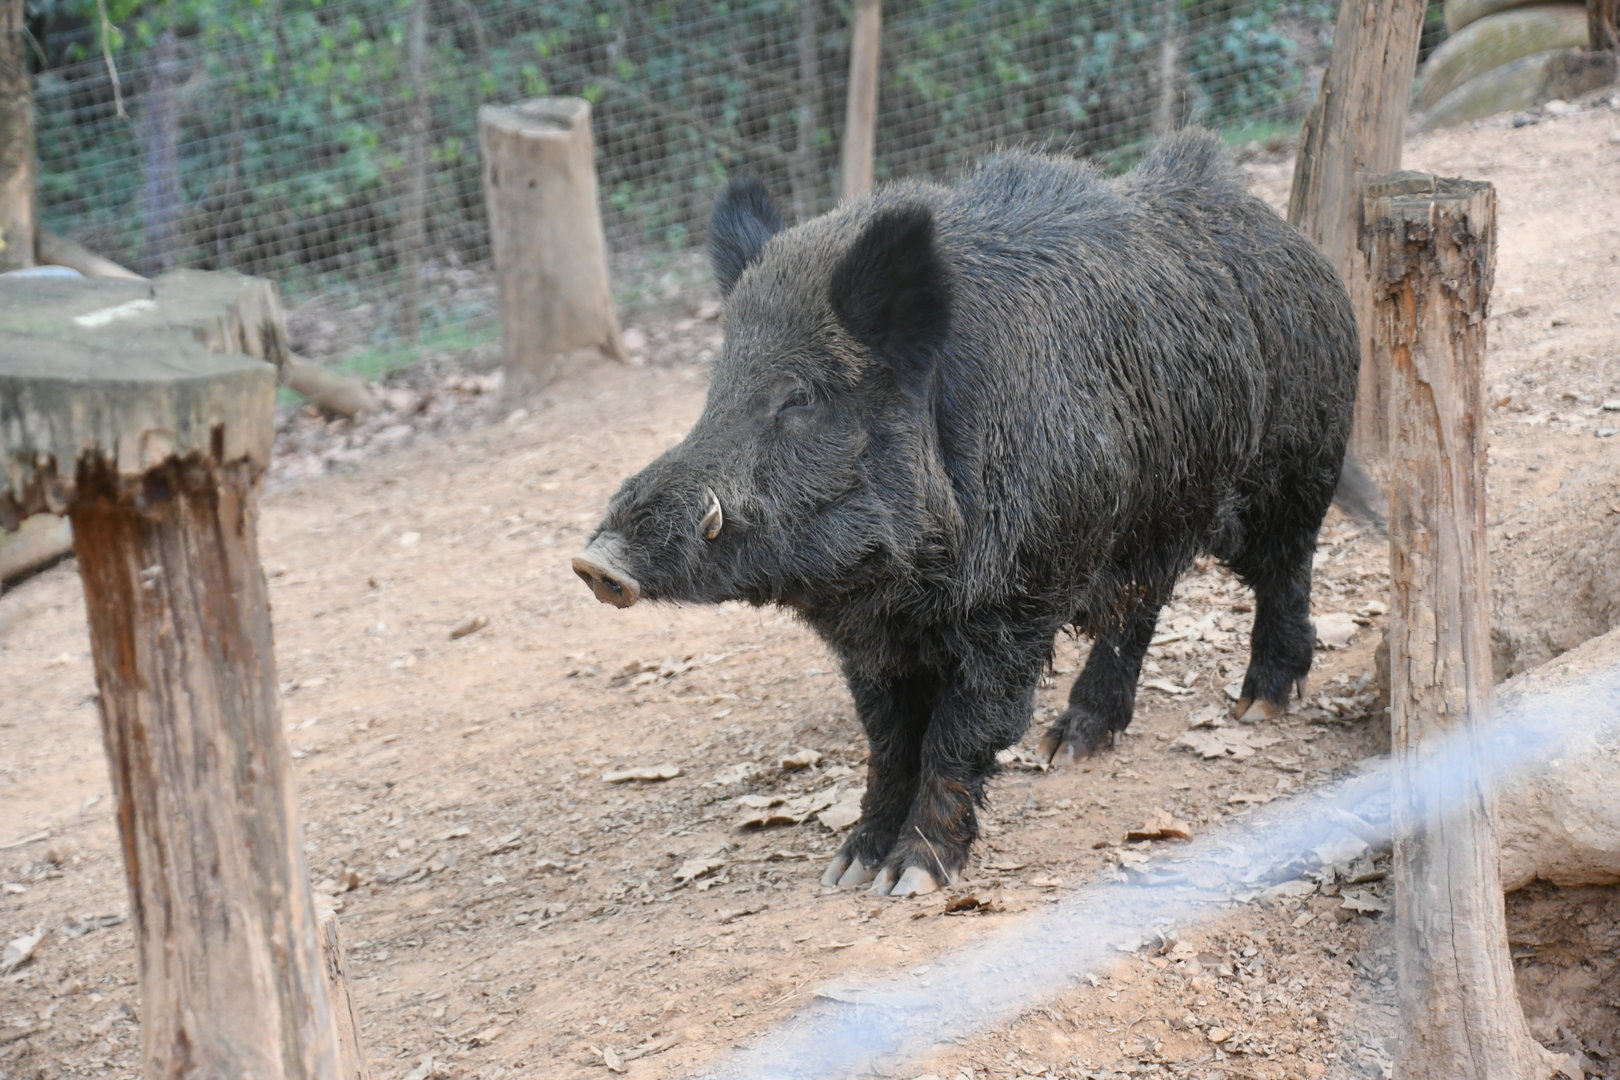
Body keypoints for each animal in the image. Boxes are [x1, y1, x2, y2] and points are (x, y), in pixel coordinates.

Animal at [573, 129, 1359, 897]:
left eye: (799, 396)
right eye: (717, 388)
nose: (593, 562)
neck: (904, 584)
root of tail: (1299, 244)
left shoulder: (1020, 599)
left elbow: (961, 732)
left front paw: (910, 881)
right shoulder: (873, 642)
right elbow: (887, 742)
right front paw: (847, 871)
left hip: (1296, 465)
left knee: (1288, 569)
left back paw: (1259, 706)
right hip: (1153, 519)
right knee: (1140, 608)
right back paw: (1070, 746)